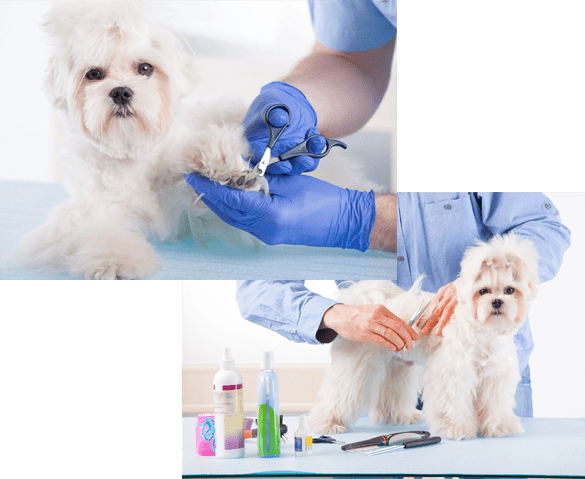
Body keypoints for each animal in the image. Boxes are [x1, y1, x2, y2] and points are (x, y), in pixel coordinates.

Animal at [14, 2, 378, 282]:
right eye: (93, 74)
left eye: (144, 68)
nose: (120, 92)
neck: (134, 154)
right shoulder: (96, 208)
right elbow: (102, 231)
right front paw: (114, 262)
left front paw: (222, 166)